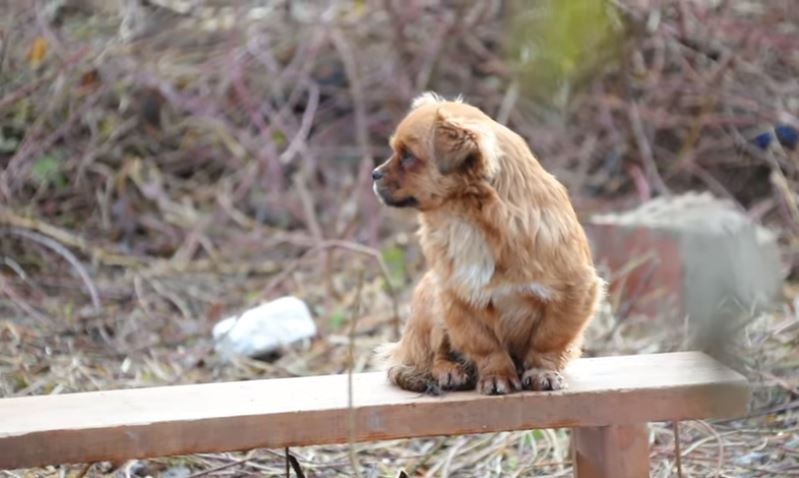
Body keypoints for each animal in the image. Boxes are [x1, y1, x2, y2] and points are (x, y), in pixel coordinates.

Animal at [376, 91, 608, 394]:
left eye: (407, 156)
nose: (374, 174)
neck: (468, 219)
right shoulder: (455, 299)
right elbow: (484, 345)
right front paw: (497, 375)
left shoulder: (574, 292)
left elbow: (547, 341)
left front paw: (541, 372)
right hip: (431, 296)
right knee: (435, 354)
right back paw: (450, 371)